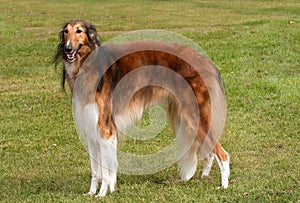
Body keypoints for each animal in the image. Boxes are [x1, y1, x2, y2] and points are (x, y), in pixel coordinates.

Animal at [54, 19, 230, 196]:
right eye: (66, 31)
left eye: (79, 31)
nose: (68, 49)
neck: (87, 64)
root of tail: (205, 61)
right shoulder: (91, 129)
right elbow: (96, 170)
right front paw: (92, 193)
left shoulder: (105, 129)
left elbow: (105, 170)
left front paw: (102, 193)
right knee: (210, 153)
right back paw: (205, 177)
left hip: (194, 116)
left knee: (223, 154)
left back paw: (224, 186)